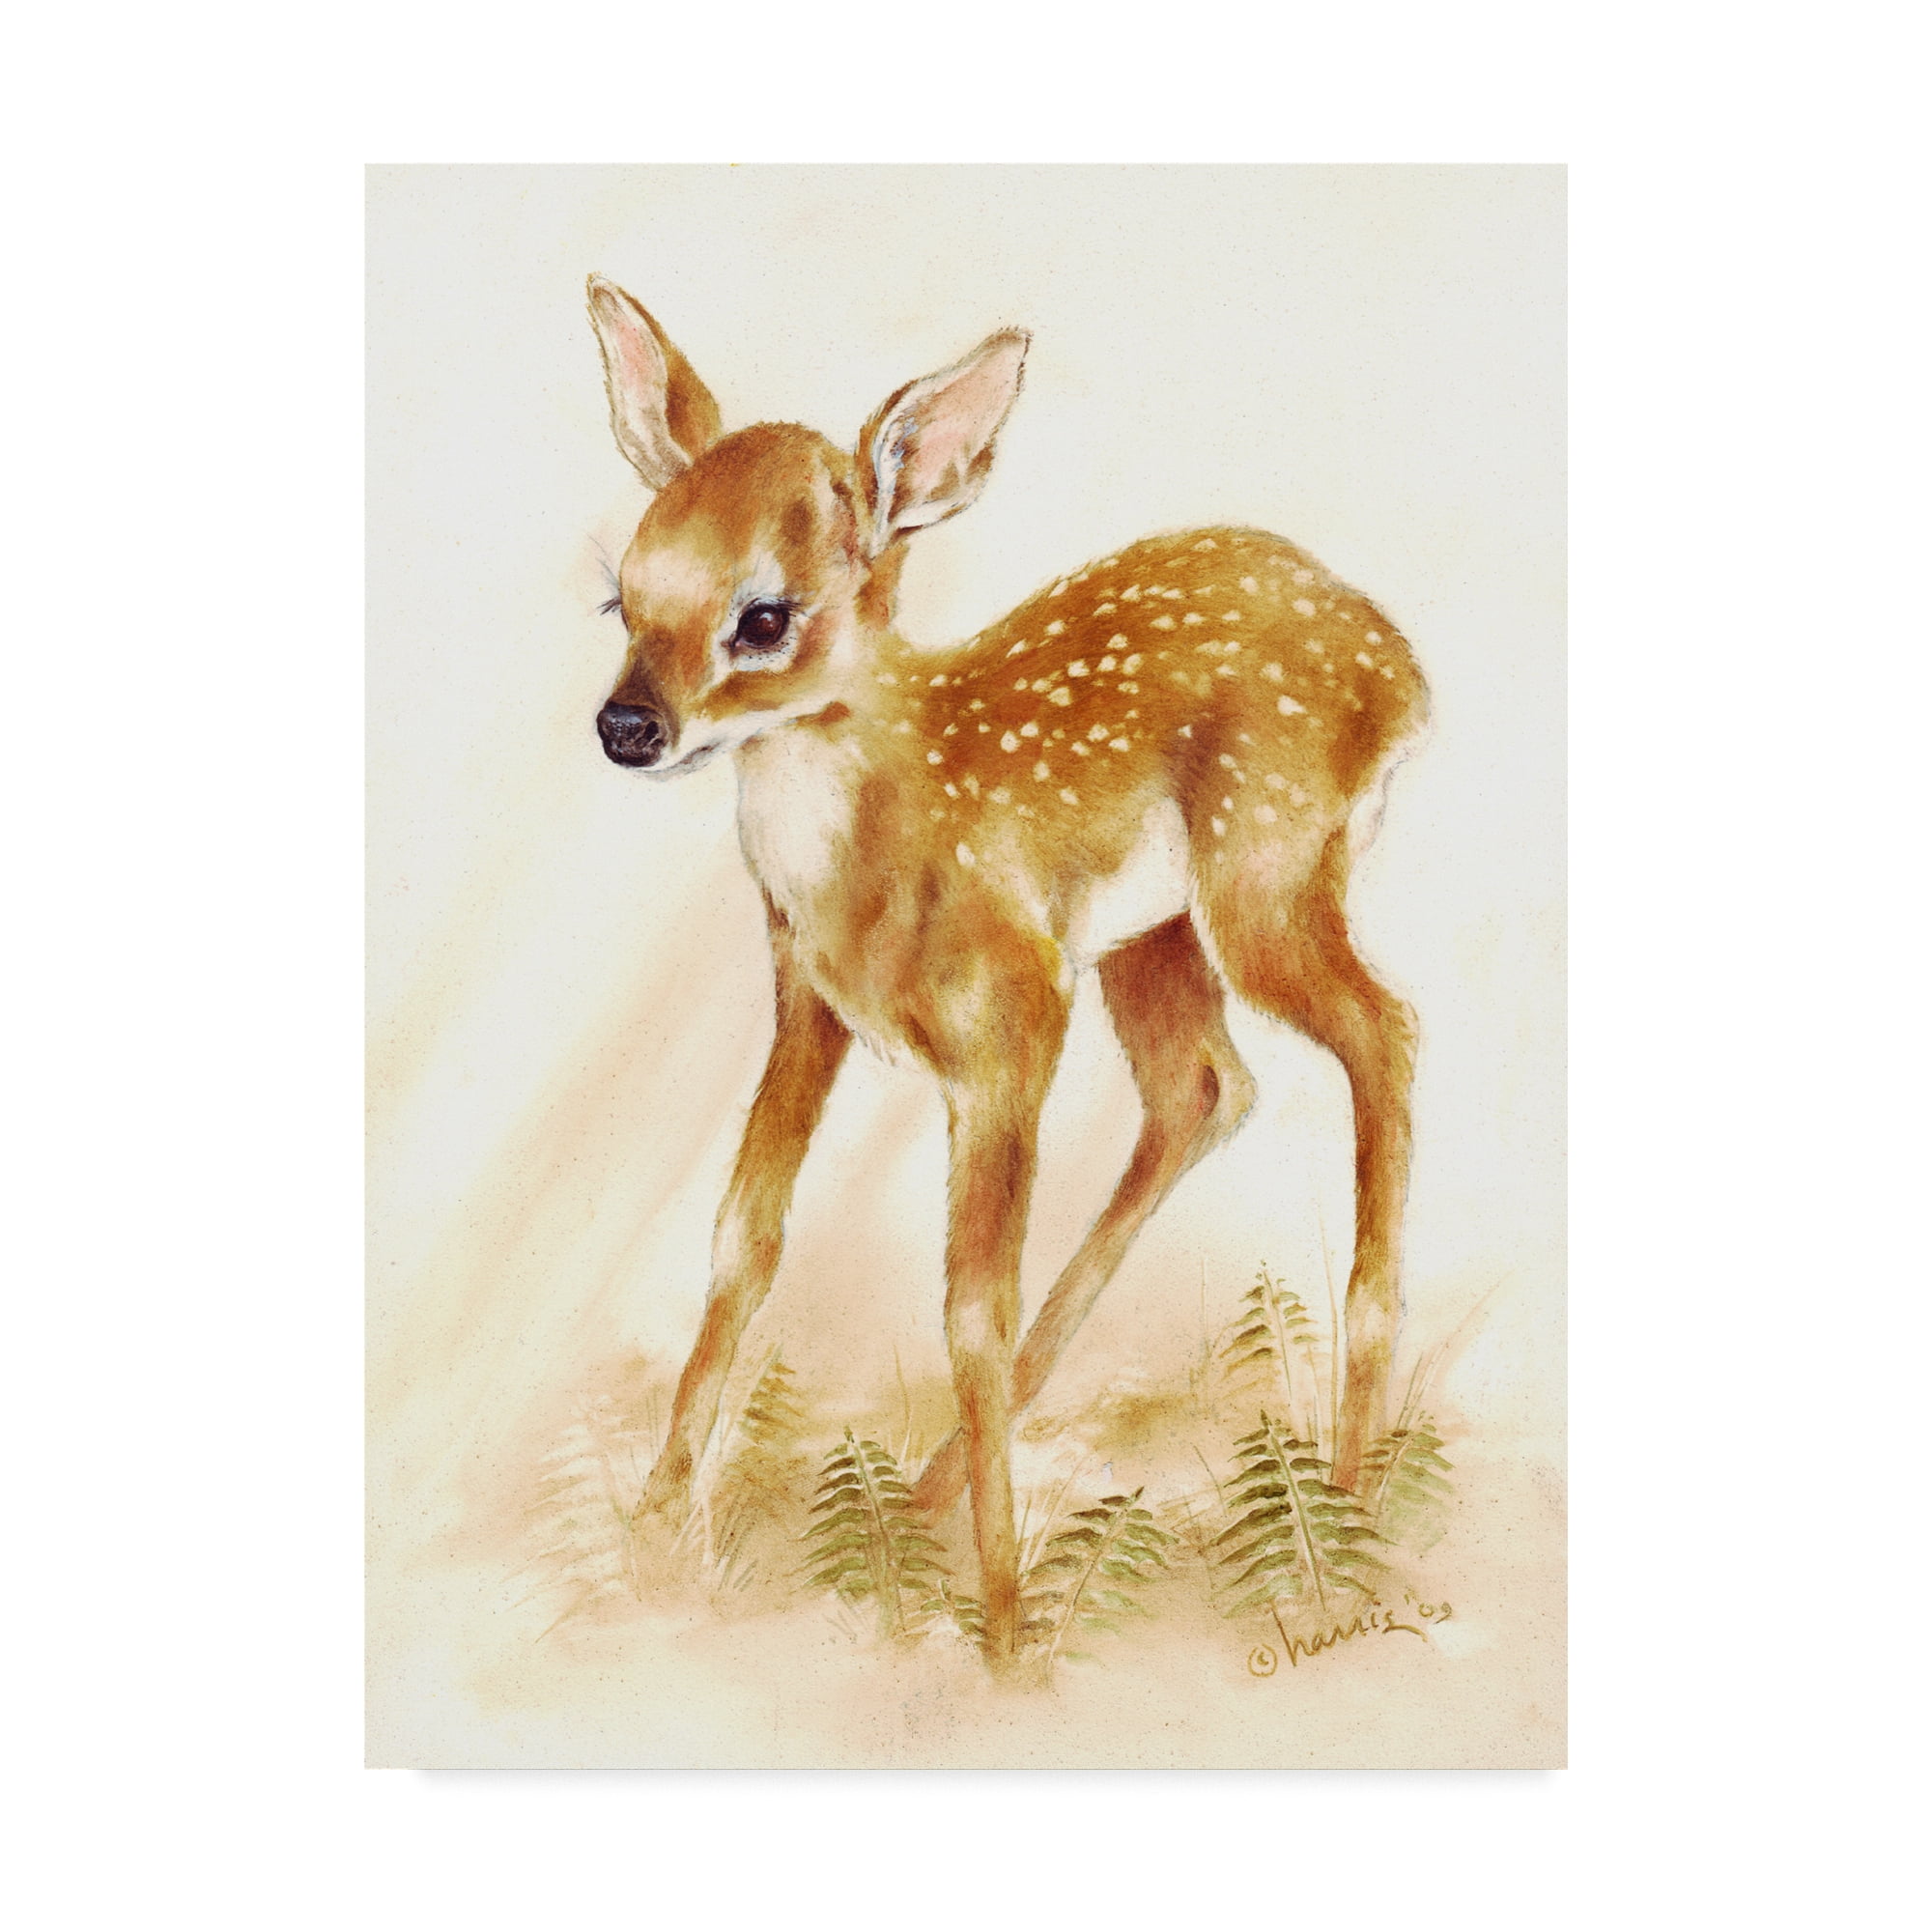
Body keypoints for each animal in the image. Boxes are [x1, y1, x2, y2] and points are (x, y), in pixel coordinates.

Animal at [584, 275, 1427, 1669]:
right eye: (621, 594)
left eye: (764, 615)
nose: (626, 726)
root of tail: (1404, 677)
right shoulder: (805, 997)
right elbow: (743, 1237)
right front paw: (652, 1535)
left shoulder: (1010, 1012)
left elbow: (968, 1306)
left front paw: (1002, 1634)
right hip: (1153, 935)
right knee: (1209, 1087)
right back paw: (929, 1497)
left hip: (1262, 876)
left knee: (1386, 1031)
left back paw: (1349, 1505)